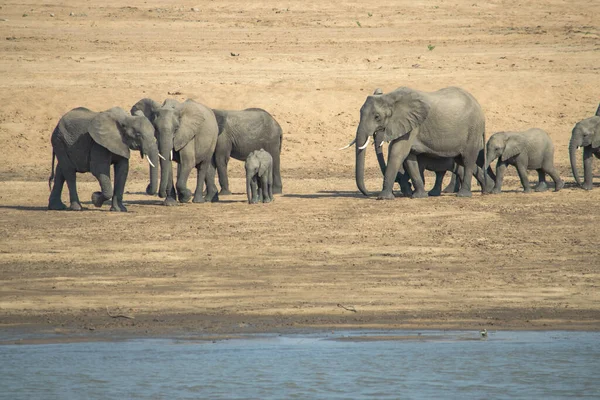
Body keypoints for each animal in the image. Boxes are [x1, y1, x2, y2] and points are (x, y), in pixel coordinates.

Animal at [344, 87, 490, 200]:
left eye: (377, 117)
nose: (367, 193)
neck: (391, 97)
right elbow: (409, 158)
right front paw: (419, 196)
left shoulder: (413, 125)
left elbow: (397, 152)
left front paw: (384, 198)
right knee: (462, 161)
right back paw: (485, 190)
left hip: (473, 130)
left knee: (468, 160)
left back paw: (464, 195)